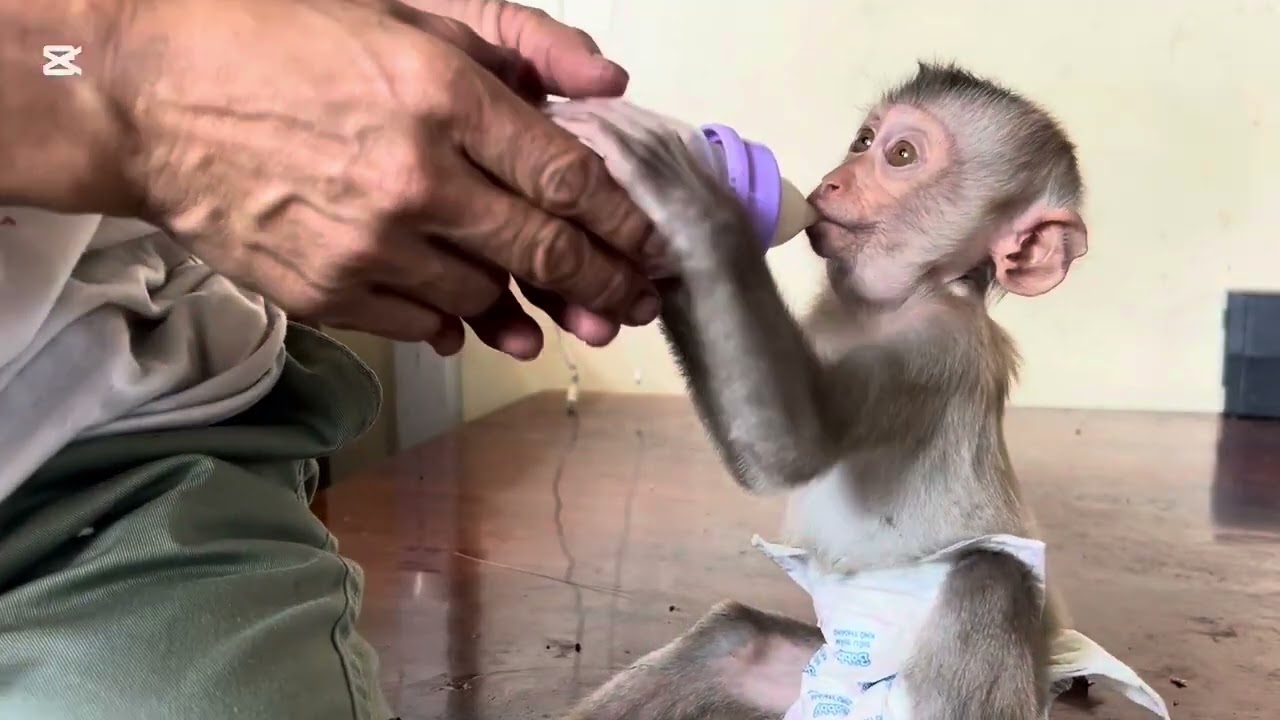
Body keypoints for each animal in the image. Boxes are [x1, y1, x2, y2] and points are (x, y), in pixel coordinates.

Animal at [546, 63, 1169, 720]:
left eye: (900, 155)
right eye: (862, 141)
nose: (832, 181)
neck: (885, 303)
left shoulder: (939, 345)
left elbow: (797, 444)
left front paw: (683, 191)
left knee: (990, 576)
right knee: (730, 639)